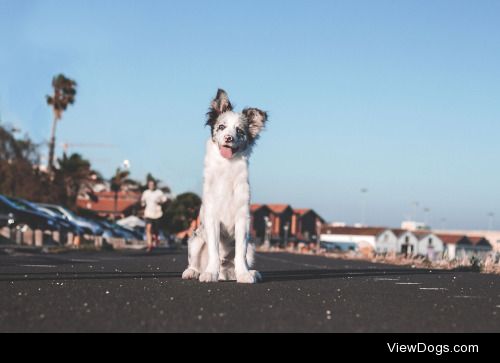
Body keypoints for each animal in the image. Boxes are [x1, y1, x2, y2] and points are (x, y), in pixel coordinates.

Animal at [182, 89, 268, 284]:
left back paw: (248, 272)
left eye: (239, 131)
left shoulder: (242, 219)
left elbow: (240, 253)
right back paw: (194, 272)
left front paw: (244, 274)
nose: (229, 138)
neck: (226, 167)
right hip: (195, 240)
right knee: (195, 262)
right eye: (221, 127)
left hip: (252, 245)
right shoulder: (212, 217)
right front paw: (210, 274)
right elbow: (214, 251)